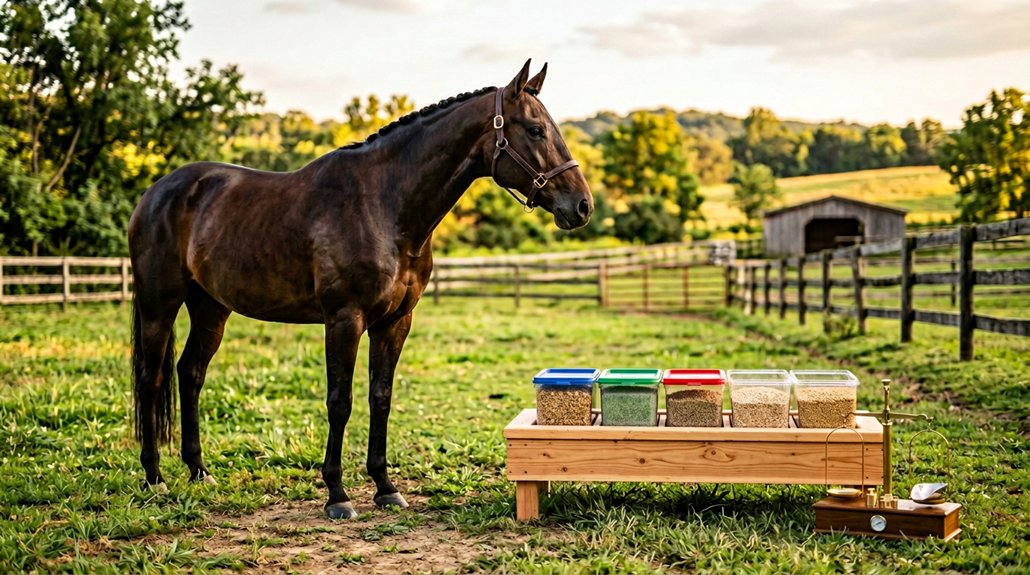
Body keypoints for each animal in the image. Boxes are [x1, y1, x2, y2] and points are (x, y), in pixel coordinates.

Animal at [128, 60, 592, 519]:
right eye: (535, 129)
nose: (582, 206)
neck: (385, 206)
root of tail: (155, 192)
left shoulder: (395, 321)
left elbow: (380, 397)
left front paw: (385, 487)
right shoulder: (344, 319)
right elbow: (341, 401)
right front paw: (337, 494)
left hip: (211, 308)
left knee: (190, 374)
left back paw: (199, 471)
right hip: (159, 306)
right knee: (151, 379)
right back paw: (154, 478)